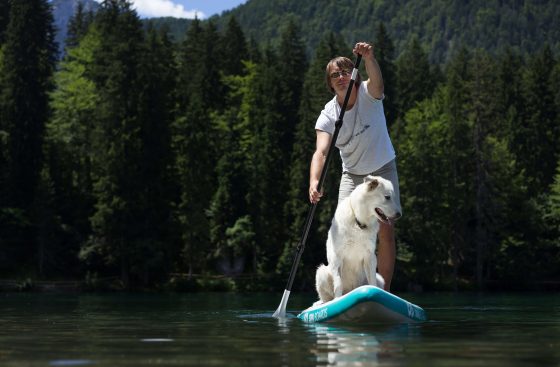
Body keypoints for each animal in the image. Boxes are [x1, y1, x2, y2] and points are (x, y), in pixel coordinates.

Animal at [316, 175, 402, 304]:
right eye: (387, 197)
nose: (399, 215)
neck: (359, 222)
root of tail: (350, 292)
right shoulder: (337, 257)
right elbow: (338, 283)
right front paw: (338, 300)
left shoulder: (370, 257)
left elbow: (372, 283)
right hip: (321, 272)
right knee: (326, 299)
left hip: (380, 278)